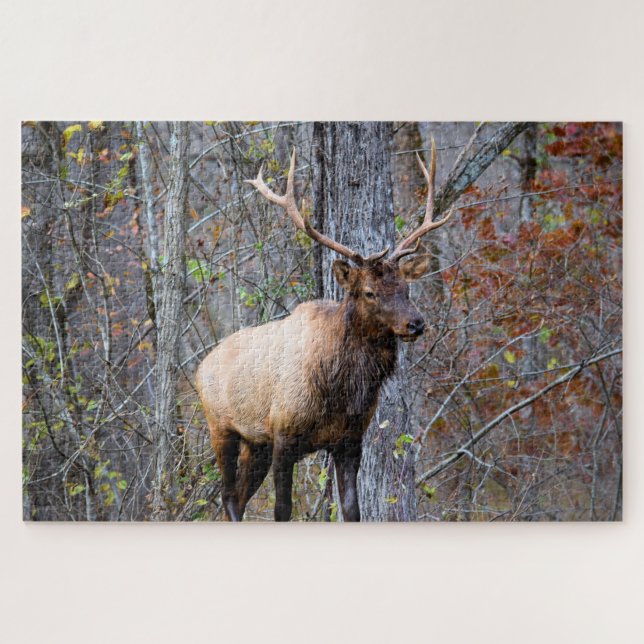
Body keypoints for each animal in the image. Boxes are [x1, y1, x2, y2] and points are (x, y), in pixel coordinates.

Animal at [195, 140, 453, 521]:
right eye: (369, 292)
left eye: (406, 287)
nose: (416, 323)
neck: (341, 389)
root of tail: (199, 368)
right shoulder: (284, 434)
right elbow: (282, 510)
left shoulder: (349, 441)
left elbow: (352, 510)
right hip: (221, 427)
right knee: (228, 497)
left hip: (255, 444)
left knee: (238, 497)